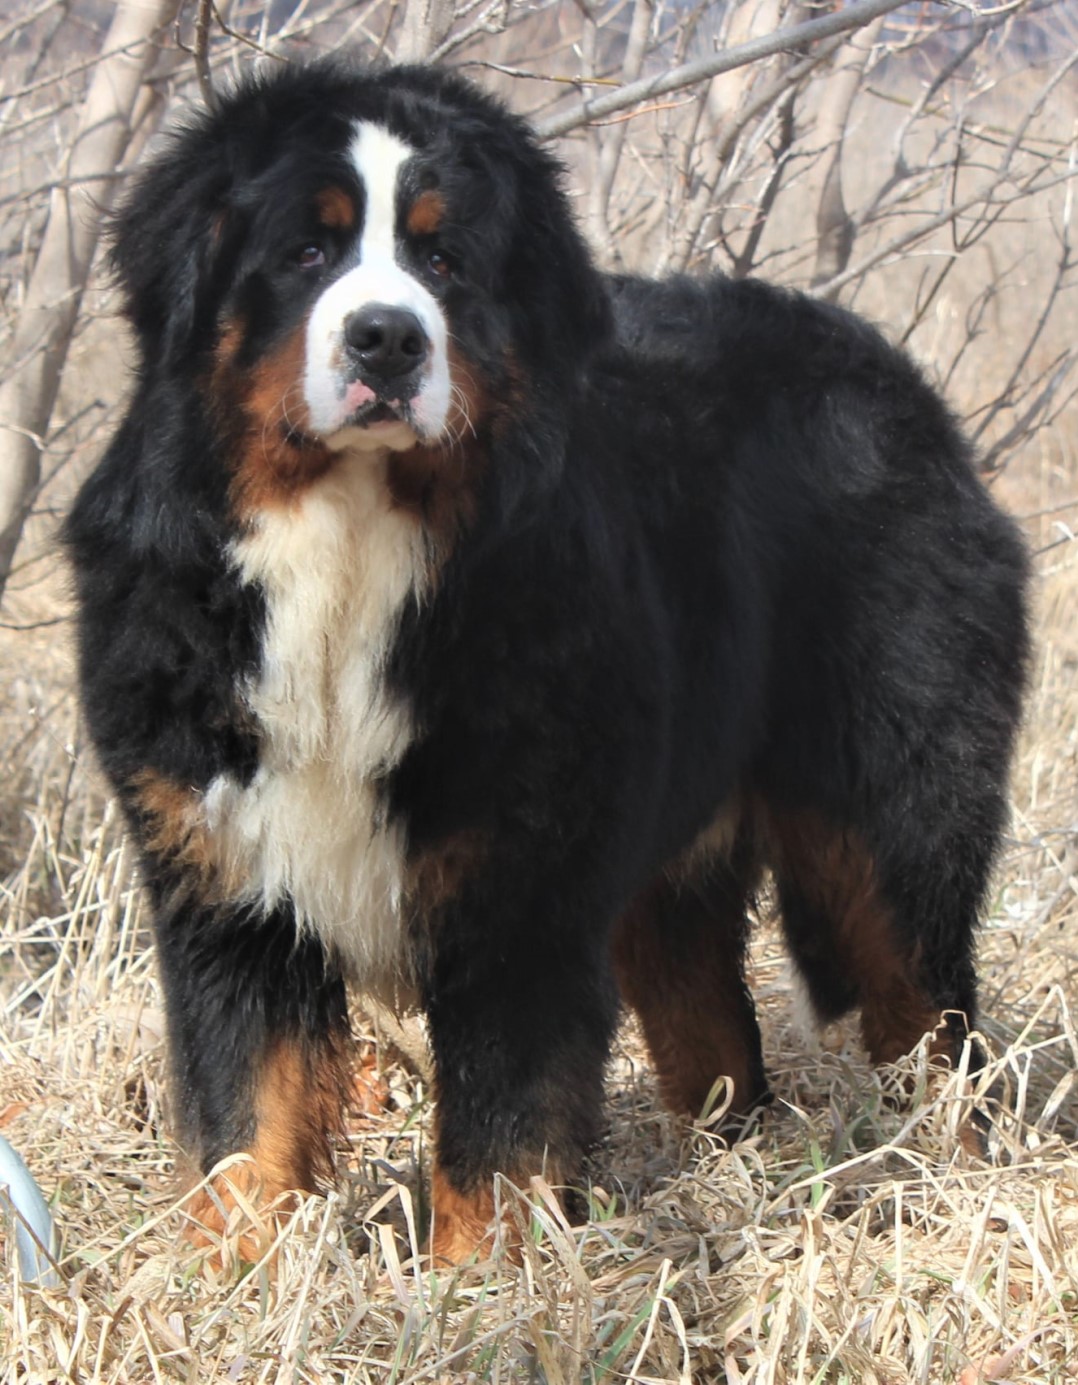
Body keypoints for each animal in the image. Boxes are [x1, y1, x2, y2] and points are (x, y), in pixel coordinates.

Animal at [65, 60, 1029, 1264]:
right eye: (305, 251)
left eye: (444, 260)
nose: (386, 339)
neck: (348, 555)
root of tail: (900, 384)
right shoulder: (229, 876)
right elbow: (249, 1112)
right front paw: (241, 1269)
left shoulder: (519, 886)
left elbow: (499, 1129)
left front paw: (479, 1283)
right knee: (716, 1038)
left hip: (886, 811)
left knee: (926, 1007)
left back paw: (946, 1171)